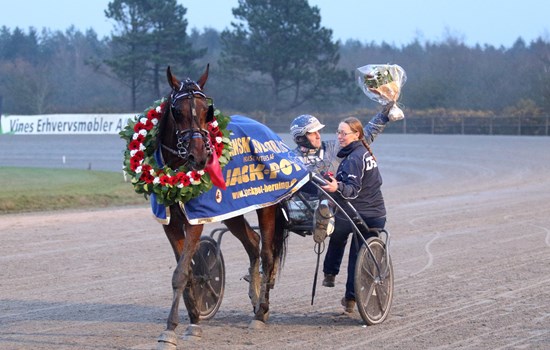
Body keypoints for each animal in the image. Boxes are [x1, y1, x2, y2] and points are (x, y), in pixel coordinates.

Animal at [155, 65, 286, 348]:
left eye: (207, 110)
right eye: (177, 111)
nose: (199, 156)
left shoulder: (196, 219)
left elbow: (181, 272)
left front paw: (171, 329)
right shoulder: (171, 223)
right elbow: (188, 270)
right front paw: (193, 320)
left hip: (267, 205)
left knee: (267, 255)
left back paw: (260, 313)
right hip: (231, 212)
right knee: (253, 243)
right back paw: (256, 299)